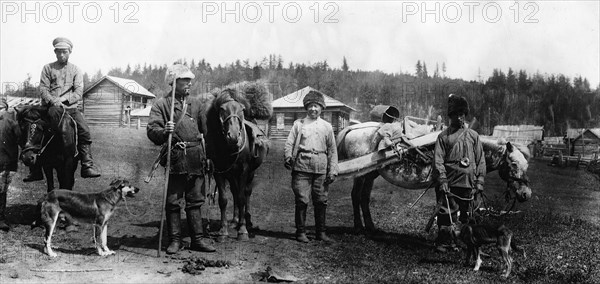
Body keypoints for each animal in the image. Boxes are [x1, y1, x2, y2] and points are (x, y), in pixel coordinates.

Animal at [200, 89, 268, 242]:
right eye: (222, 109)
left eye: (242, 109)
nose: (233, 136)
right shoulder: (219, 172)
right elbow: (223, 200)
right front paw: (223, 232)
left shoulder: (244, 170)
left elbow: (242, 198)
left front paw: (243, 231)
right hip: (231, 175)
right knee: (235, 192)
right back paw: (235, 221)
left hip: (250, 173)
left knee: (246, 193)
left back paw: (247, 222)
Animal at [338, 124, 528, 233]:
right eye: (513, 163)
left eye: (526, 165)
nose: (526, 194)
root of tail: (354, 129)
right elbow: (450, 211)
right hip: (360, 174)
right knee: (356, 196)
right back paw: (358, 227)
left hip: (370, 174)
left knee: (364, 197)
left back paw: (370, 226)